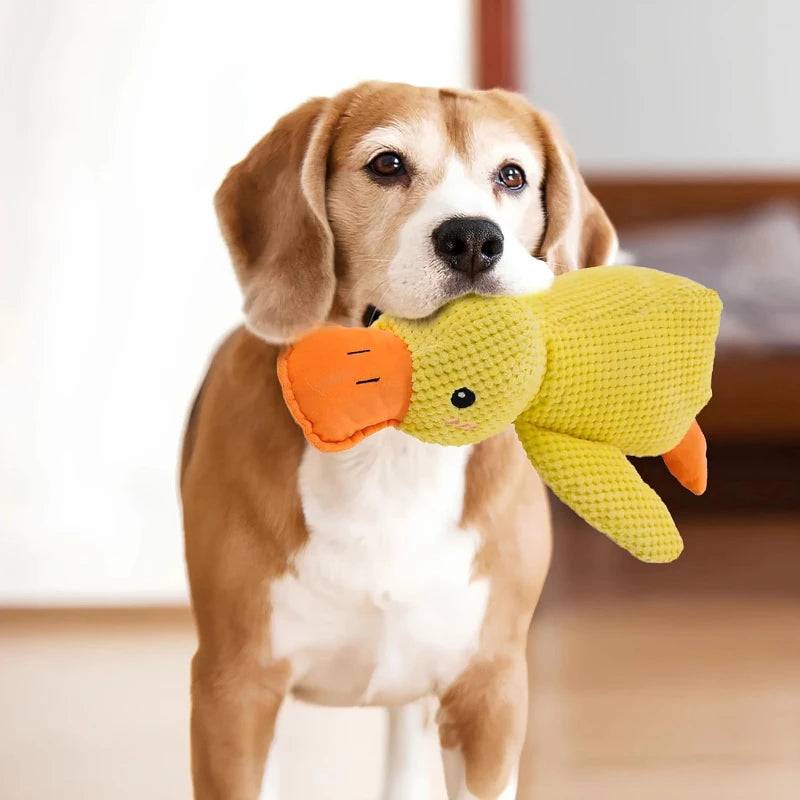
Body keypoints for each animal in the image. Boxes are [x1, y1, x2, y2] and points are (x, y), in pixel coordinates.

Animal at [183, 81, 620, 800]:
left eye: (512, 176)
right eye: (387, 164)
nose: (473, 238)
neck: (394, 447)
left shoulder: (491, 693)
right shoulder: (233, 688)